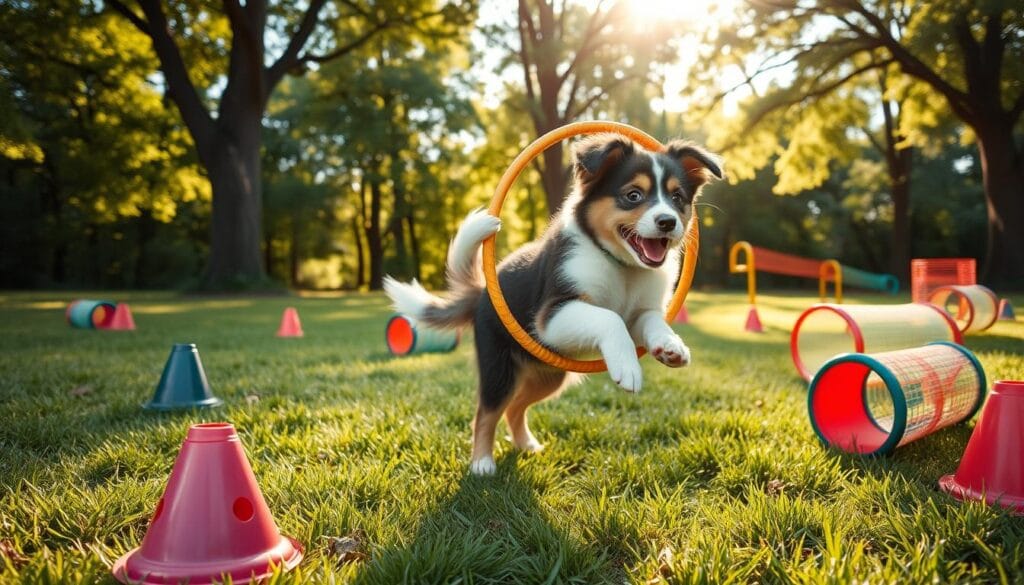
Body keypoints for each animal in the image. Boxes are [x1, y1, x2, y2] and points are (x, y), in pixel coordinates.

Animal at [382, 134, 720, 475]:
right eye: (633, 195)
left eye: (677, 198)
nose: (667, 222)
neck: (622, 267)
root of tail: (481, 294)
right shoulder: (551, 315)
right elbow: (608, 317)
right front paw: (628, 368)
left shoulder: (637, 313)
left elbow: (652, 320)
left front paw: (671, 346)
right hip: (498, 367)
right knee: (486, 412)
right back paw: (482, 463)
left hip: (549, 376)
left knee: (515, 407)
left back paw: (526, 445)